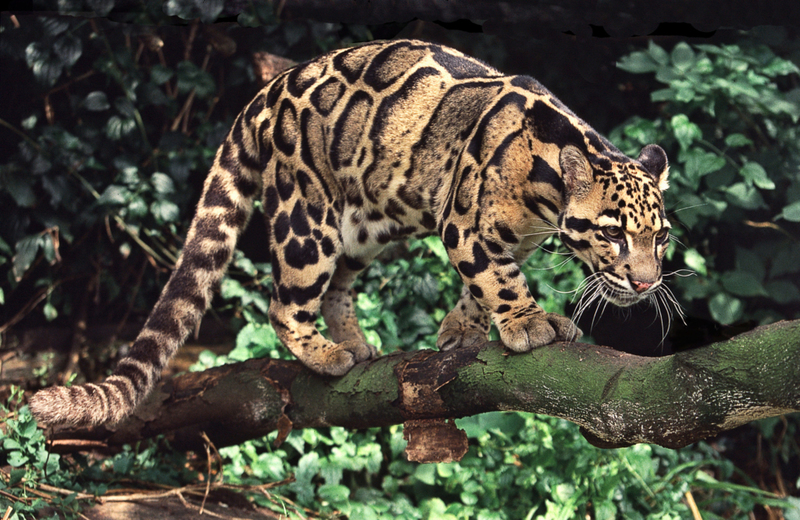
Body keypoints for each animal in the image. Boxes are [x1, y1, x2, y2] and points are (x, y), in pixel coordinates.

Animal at [29, 38, 668, 428]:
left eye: (660, 238)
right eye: (613, 234)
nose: (645, 283)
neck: (546, 193)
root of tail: (269, 90)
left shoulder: (513, 237)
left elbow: (480, 284)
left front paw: (461, 328)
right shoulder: (464, 225)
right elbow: (498, 278)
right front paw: (529, 322)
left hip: (362, 227)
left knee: (339, 285)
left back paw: (354, 342)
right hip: (306, 220)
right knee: (283, 303)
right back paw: (326, 353)